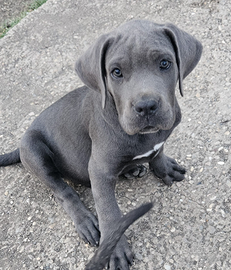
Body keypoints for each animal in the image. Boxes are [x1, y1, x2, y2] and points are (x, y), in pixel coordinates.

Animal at [0, 20, 202, 268]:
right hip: (32, 149)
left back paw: (132, 169)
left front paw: (164, 168)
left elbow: (158, 151)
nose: (146, 106)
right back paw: (85, 220)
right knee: (62, 191)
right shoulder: (99, 171)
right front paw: (114, 249)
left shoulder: (161, 137)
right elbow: (109, 212)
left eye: (165, 63)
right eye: (116, 72)